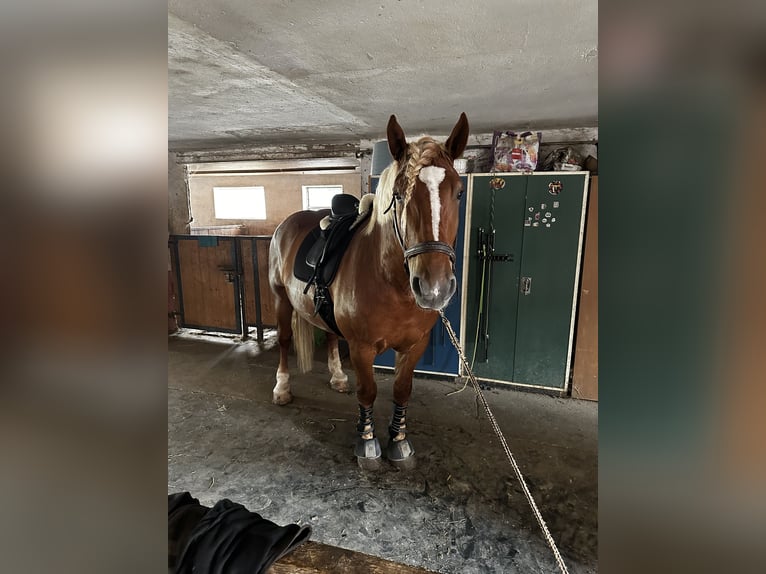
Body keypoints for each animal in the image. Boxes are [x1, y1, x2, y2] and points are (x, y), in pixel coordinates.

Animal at [270, 115, 474, 470]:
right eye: (399, 195)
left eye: (459, 192)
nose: (434, 287)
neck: (390, 282)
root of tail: (288, 223)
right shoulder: (362, 348)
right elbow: (368, 392)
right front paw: (367, 443)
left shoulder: (414, 346)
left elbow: (402, 390)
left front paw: (400, 441)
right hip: (282, 299)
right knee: (283, 341)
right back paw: (282, 388)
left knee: (331, 337)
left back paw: (338, 377)